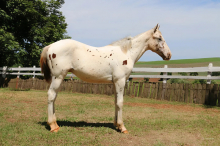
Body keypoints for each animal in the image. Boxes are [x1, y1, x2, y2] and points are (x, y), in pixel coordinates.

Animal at [40, 24, 172, 133]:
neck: (126, 53)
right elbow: (120, 102)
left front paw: (116, 125)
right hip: (58, 77)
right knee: (51, 95)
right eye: (159, 38)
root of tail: (50, 46)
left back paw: (56, 124)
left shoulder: (115, 82)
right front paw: (122, 127)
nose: (169, 55)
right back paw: (52, 126)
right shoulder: (120, 81)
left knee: (54, 97)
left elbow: (116, 101)